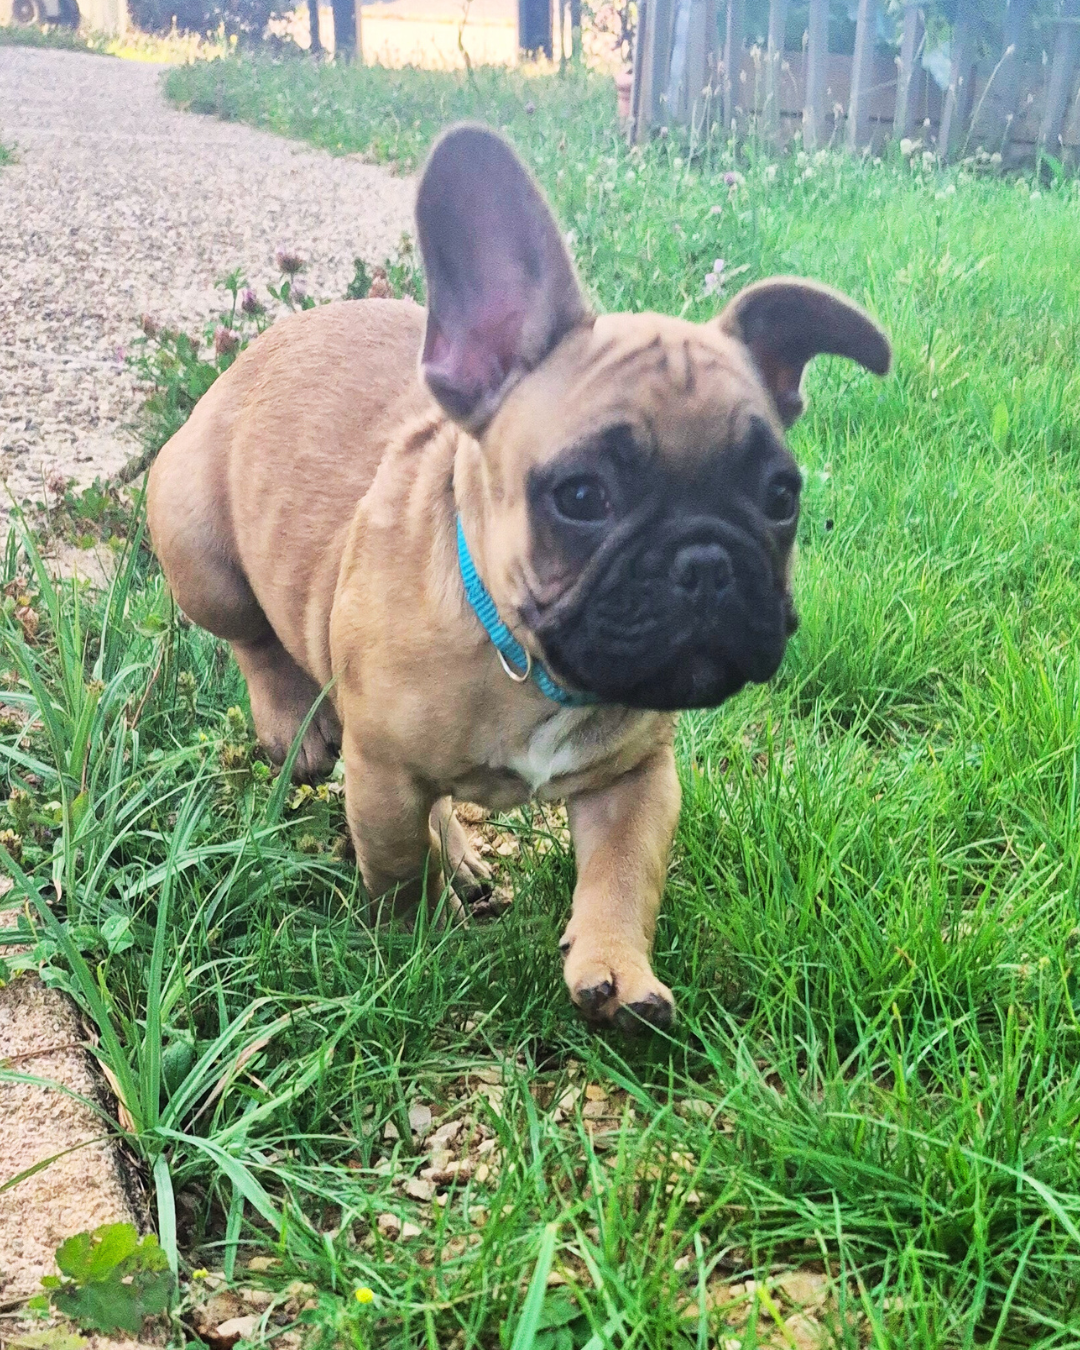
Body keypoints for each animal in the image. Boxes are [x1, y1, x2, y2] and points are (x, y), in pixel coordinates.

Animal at [147, 124, 890, 1032]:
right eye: (581, 497)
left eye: (781, 496)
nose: (708, 560)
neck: (529, 661)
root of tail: (254, 352)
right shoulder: (383, 774)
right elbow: (398, 868)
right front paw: (416, 943)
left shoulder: (638, 781)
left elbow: (623, 876)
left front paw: (618, 969)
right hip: (195, 537)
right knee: (251, 637)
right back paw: (296, 724)